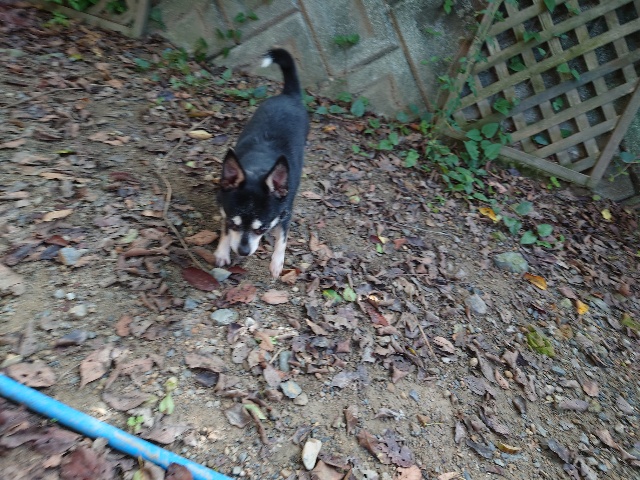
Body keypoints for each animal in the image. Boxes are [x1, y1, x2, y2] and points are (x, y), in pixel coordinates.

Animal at [214, 48, 309, 279]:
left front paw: (277, 263)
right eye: (234, 223)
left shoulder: (285, 213)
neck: (258, 167)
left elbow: (282, 238)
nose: (243, 251)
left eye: (261, 229)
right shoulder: (225, 209)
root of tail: (288, 95)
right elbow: (224, 229)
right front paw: (222, 251)